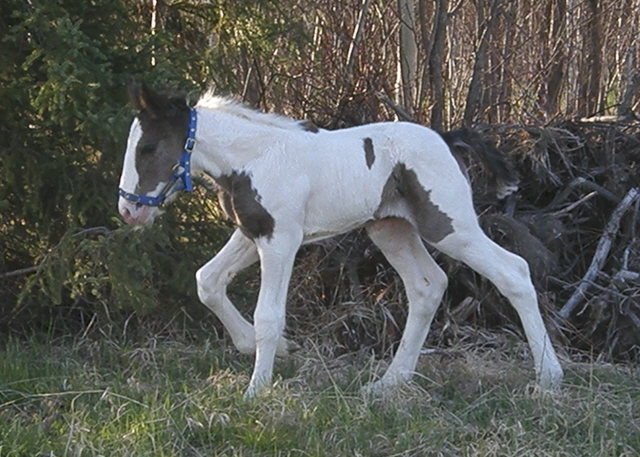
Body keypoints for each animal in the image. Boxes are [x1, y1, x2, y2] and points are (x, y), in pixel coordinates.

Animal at [117, 83, 564, 398]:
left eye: (149, 147)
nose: (128, 210)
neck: (255, 157)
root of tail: (445, 137)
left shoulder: (281, 240)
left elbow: (268, 315)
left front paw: (256, 389)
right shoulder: (252, 232)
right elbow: (207, 281)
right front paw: (268, 349)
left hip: (450, 226)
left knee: (513, 271)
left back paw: (549, 376)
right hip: (391, 229)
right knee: (427, 286)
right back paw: (390, 383)